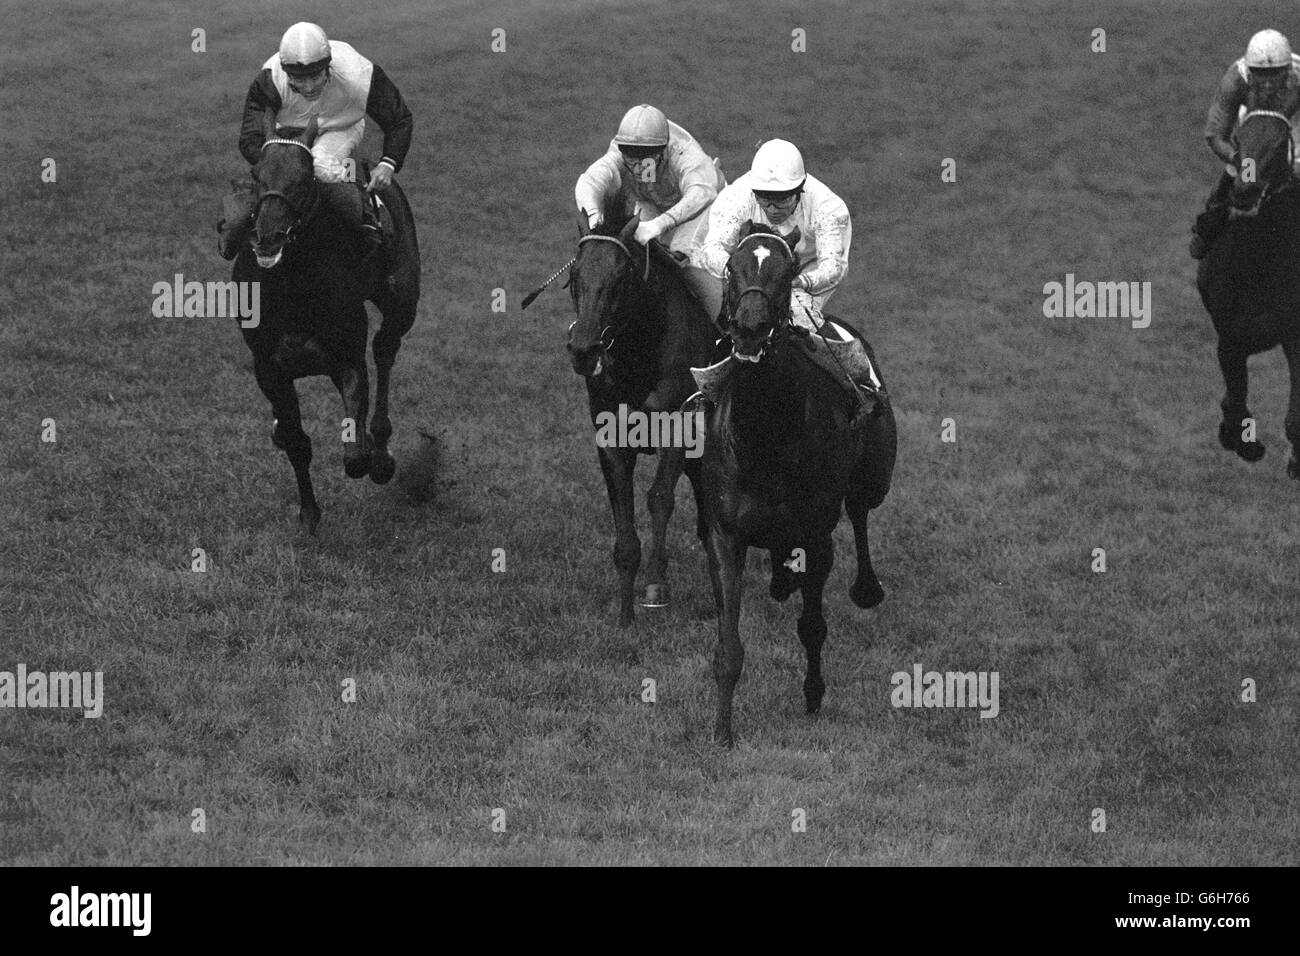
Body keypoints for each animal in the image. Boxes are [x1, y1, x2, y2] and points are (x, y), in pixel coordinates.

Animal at [230, 119, 416, 530]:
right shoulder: (270, 369)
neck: (295, 289)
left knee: (385, 350)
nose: (268, 238)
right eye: (256, 174)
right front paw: (308, 512)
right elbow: (297, 441)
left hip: (402, 304)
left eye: (303, 179)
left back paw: (382, 451)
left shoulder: (347, 358)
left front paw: (372, 457)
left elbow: (354, 455)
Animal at [566, 201, 717, 629]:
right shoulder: (612, 440)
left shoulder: (680, 428)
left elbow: (659, 499)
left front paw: (654, 587)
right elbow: (625, 524)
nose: (583, 350)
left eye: (621, 277)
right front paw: (624, 615)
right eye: (574, 275)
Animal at [702, 226, 894, 749]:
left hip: (874, 476)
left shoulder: (816, 534)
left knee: (862, 511)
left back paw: (866, 588)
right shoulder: (725, 532)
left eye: (786, 272)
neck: (767, 439)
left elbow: (812, 627)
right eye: (731, 267)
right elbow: (729, 646)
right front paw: (722, 732)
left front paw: (812, 696)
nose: (749, 328)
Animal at [1196, 106, 1300, 476]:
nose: (1244, 192)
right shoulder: (1231, 335)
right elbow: (1234, 398)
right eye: (1238, 139)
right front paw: (1241, 440)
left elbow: (1294, 417)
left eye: (1281, 144)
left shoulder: (1293, 336)